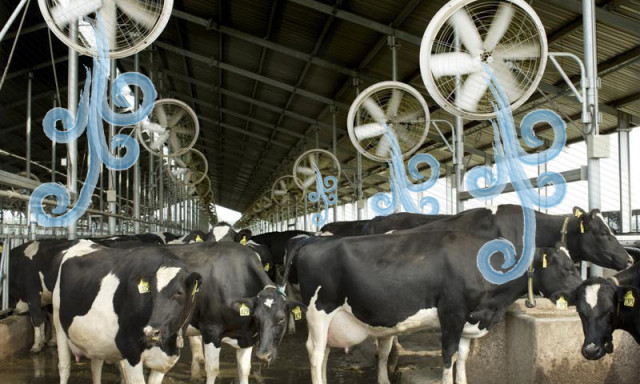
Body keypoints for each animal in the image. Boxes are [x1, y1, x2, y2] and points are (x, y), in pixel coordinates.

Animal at [54, 240, 201, 384]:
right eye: (151, 291)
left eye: (179, 292)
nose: (150, 332)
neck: (167, 346)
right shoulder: (130, 350)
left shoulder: (163, 362)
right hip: (59, 325)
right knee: (64, 367)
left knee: (95, 366)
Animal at [166, 242, 304, 382]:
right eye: (256, 317)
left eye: (281, 318)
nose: (263, 355)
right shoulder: (211, 330)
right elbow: (212, 369)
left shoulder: (247, 337)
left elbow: (244, 370)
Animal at [298, 231, 584, 384]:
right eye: (567, 268)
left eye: (574, 265)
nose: (583, 290)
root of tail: (312, 243)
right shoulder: (452, 314)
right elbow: (448, 356)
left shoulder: (468, 320)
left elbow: (462, 357)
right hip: (318, 312)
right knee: (314, 352)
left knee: (325, 352)